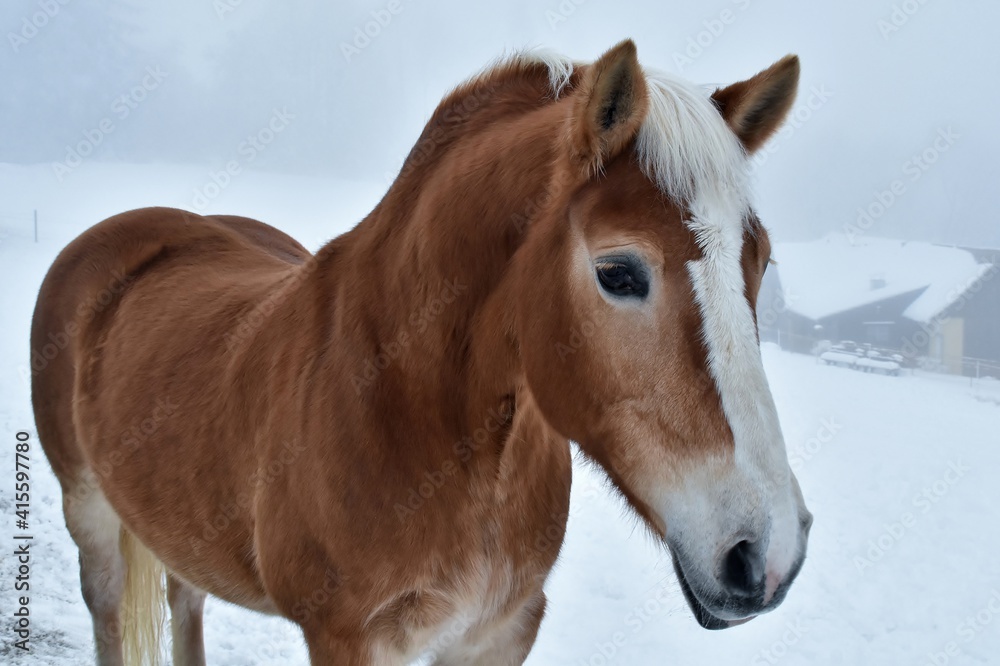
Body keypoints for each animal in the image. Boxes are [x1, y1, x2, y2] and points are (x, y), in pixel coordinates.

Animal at [31, 39, 812, 665]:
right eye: (618, 272)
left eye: (761, 262)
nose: (768, 556)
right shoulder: (350, 640)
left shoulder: (500, 633)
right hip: (89, 514)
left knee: (185, 601)